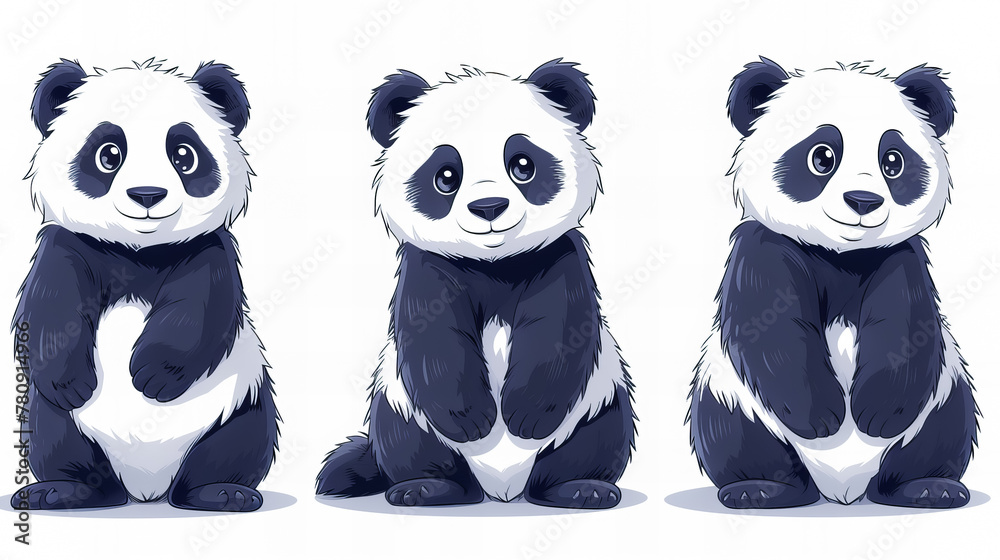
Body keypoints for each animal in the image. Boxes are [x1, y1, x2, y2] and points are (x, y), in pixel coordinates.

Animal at [10, 59, 278, 512]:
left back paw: (221, 492)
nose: (147, 195)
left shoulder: (207, 249)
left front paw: (154, 374)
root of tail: (146, 487)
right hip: (58, 420)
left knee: (238, 443)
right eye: (108, 154)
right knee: (55, 435)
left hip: (241, 400)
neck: (137, 252)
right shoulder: (68, 244)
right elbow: (51, 308)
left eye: (184, 154)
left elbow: (202, 310)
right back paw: (67, 490)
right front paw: (71, 381)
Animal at [316, 60, 636, 509]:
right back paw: (426, 488)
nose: (488, 208)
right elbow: (432, 337)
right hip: (401, 405)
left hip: (598, 400)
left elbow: (561, 327)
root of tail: (502, 489)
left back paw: (579, 488)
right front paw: (472, 421)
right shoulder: (430, 265)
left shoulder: (558, 257)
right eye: (446, 176)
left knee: (596, 440)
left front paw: (525, 415)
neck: (493, 265)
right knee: (405, 441)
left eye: (523, 165)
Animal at [688, 58, 978, 509]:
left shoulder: (899, 257)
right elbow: (769, 329)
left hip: (942, 397)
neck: (840, 256)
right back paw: (761, 489)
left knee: (940, 434)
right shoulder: (764, 248)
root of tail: (842, 490)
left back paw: (927, 487)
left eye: (893, 161)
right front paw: (821, 418)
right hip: (732, 396)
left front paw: (876, 414)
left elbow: (906, 326)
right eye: (822, 157)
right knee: (733, 433)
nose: (863, 201)